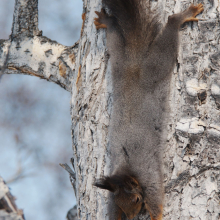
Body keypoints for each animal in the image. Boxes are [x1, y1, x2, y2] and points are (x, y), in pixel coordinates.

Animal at [93, 0, 204, 219]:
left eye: (136, 199)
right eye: (121, 205)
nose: (132, 216)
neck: (126, 170)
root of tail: (135, 62)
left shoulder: (149, 176)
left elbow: (156, 199)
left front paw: (156, 216)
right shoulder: (112, 195)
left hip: (157, 65)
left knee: (170, 28)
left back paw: (183, 16)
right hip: (118, 57)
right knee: (115, 33)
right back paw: (106, 21)